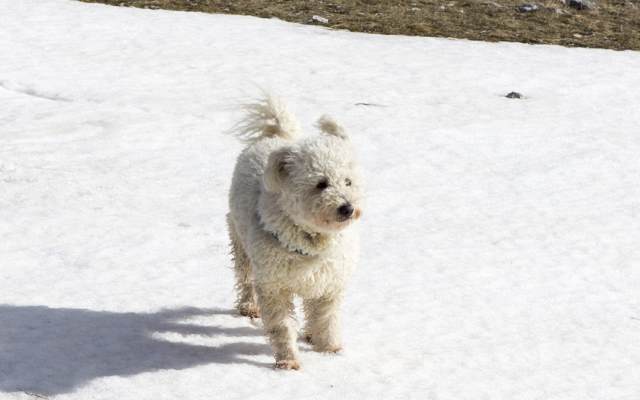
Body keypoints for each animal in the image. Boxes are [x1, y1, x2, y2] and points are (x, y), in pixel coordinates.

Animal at [228, 95, 362, 370]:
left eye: (348, 181)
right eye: (321, 184)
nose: (348, 208)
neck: (312, 239)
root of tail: (276, 136)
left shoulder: (328, 283)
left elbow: (326, 318)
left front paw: (329, 350)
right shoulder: (274, 287)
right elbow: (282, 326)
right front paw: (288, 361)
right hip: (239, 240)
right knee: (244, 276)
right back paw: (248, 306)